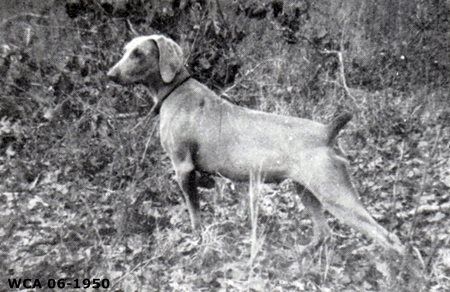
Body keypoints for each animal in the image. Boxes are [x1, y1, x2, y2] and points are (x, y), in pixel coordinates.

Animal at [107, 33, 406, 253]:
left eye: (138, 53)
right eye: (125, 50)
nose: (110, 75)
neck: (175, 92)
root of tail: (326, 132)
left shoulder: (183, 168)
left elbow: (194, 214)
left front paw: (197, 241)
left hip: (335, 194)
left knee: (389, 239)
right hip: (306, 190)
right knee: (325, 232)